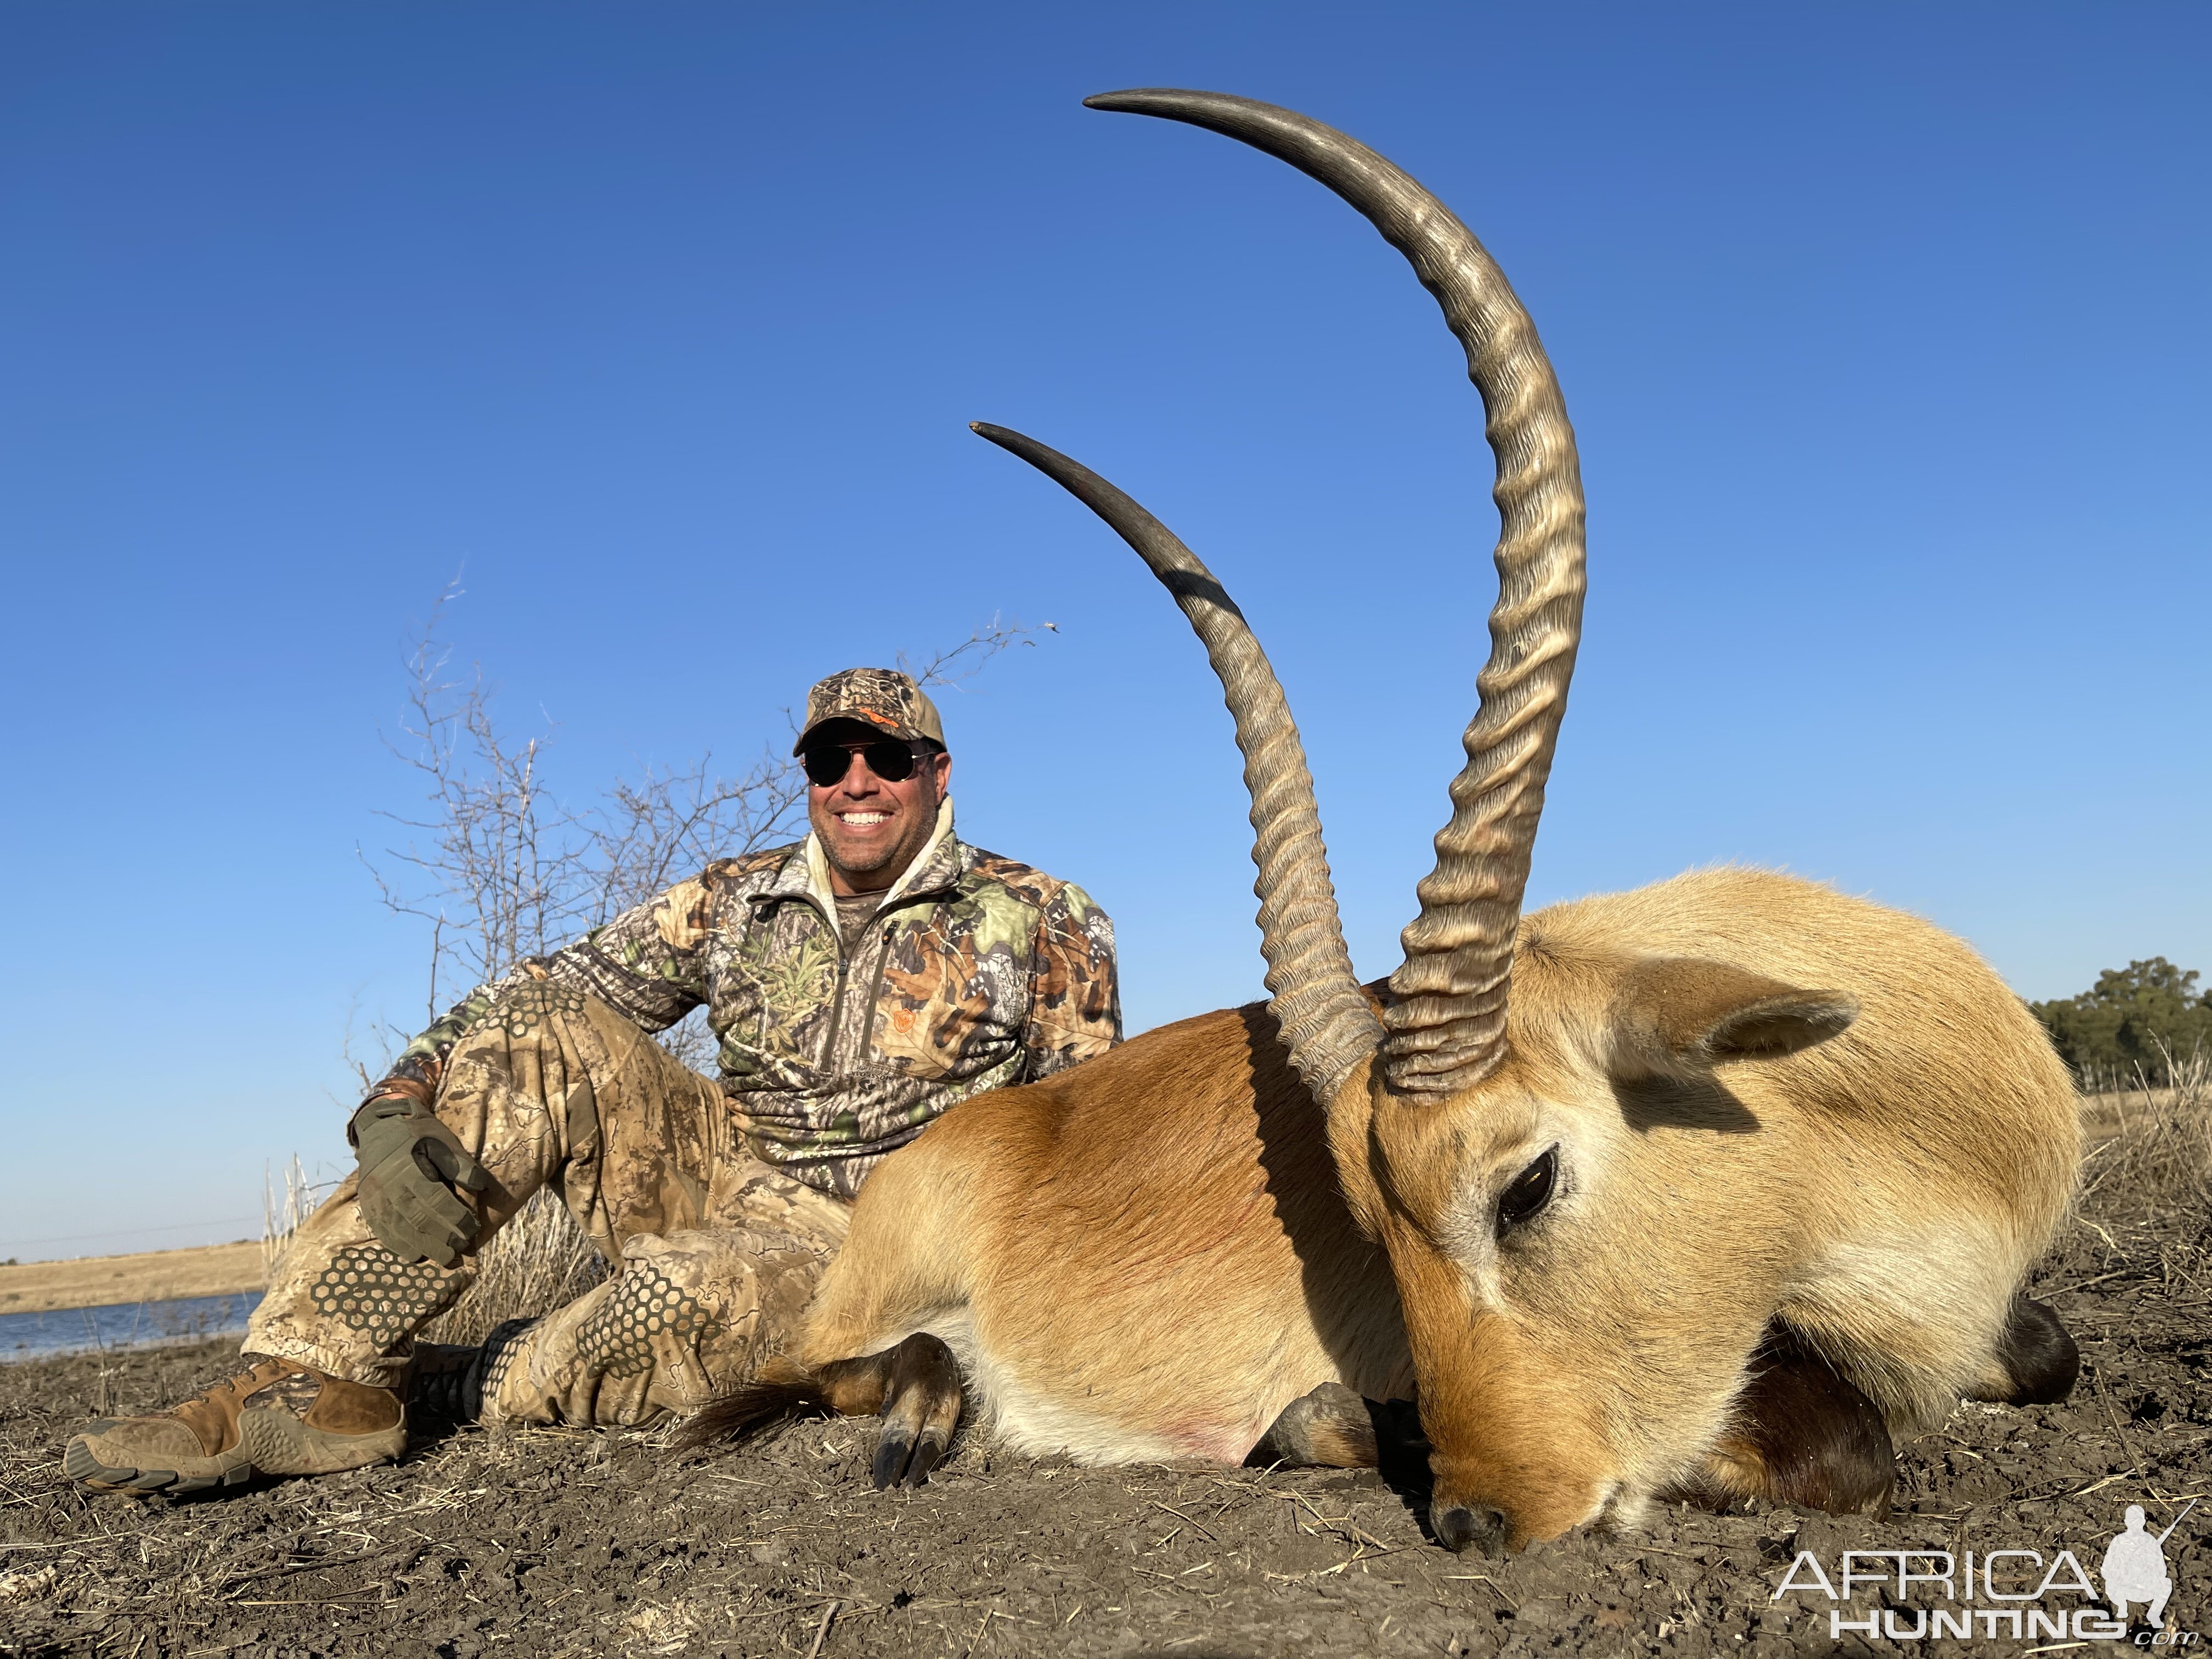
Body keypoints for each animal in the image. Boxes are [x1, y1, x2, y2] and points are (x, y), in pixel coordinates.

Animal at [695, 91, 2088, 1557]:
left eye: (1524, 1185)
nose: (1478, 1518)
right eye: (1372, 1219)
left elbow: (2041, 1351)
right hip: (854, 1310)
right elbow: (1838, 1442)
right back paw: (926, 1405)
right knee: (814, 1367)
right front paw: (1339, 1427)